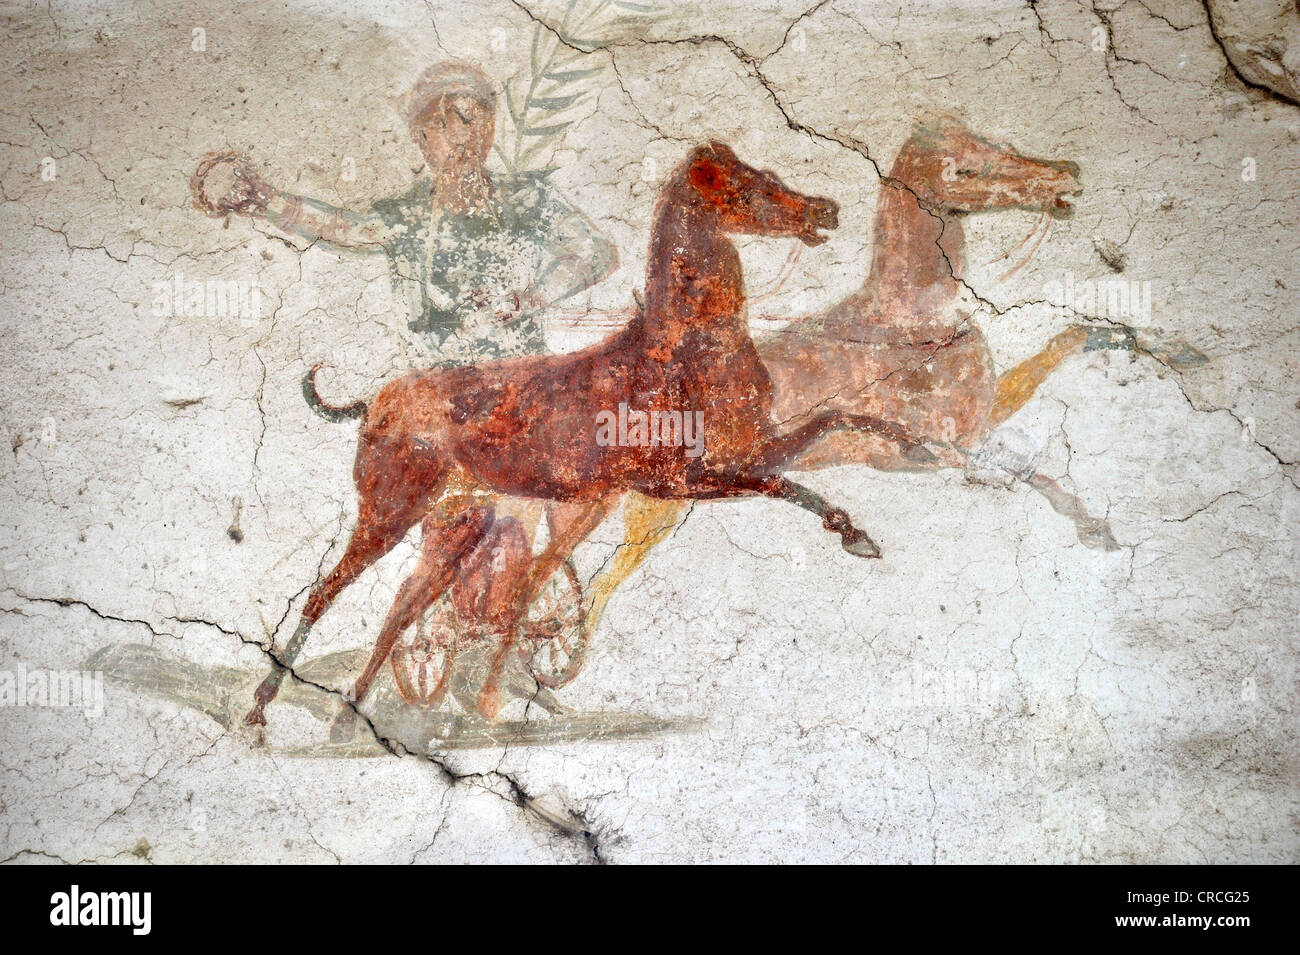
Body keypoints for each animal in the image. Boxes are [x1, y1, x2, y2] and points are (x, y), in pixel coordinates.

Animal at [245, 141, 935, 732]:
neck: (681, 350)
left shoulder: (741, 451)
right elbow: (785, 483)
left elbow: (836, 419)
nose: (826, 210)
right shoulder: (682, 480)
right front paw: (859, 536)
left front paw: (918, 448)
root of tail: (376, 402)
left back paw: (354, 715)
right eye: (744, 187)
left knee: (408, 607)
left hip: (461, 524)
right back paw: (263, 709)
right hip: (389, 511)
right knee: (326, 595)